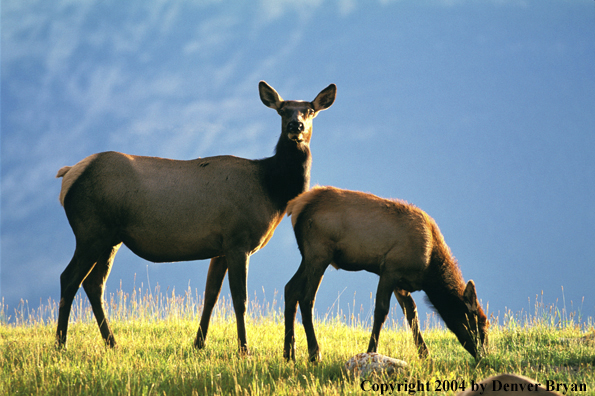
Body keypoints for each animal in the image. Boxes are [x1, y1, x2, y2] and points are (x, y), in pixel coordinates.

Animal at [56, 81, 338, 352]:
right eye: (282, 110)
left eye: (309, 110)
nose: (295, 125)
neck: (272, 189)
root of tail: (68, 174)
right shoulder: (238, 240)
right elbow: (240, 300)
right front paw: (244, 349)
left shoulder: (220, 248)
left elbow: (210, 295)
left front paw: (199, 344)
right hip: (91, 231)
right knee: (69, 278)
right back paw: (61, 344)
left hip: (110, 238)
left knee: (93, 284)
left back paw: (111, 343)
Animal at [284, 186, 488, 362]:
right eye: (479, 325)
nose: (483, 357)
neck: (429, 271)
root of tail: (296, 207)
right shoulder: (391, 269)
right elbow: (381, 310)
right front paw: (370, 351)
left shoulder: (402, 283)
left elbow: (412, 314)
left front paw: (425, 355)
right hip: (319, 252)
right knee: (306, 298)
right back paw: (314, 354)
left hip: (308, 256)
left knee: (290, 289)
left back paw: (289, 354)